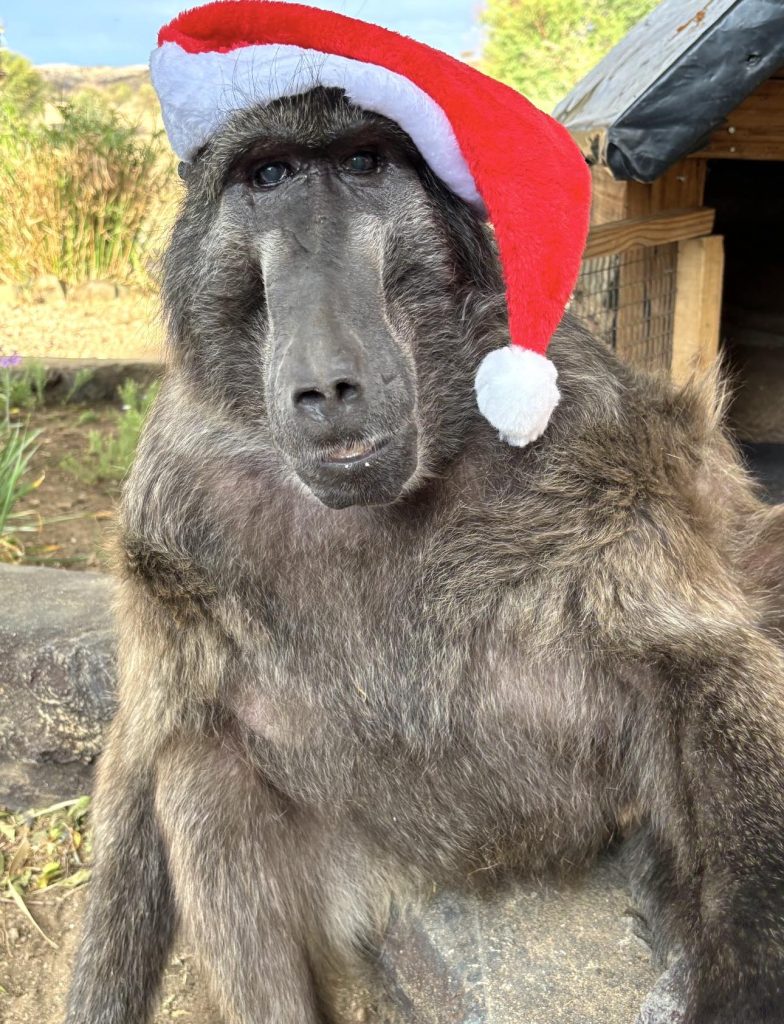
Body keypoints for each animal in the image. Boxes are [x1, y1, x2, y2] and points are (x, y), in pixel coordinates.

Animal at [64, 88, 784, 1024]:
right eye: (269, 176)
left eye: (364, 164)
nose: (329, 385)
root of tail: (466, 861)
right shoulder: (173, 498)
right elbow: (146, 746)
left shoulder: (592, 429)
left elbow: (709, 663)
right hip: (369, 862)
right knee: (199, 774)